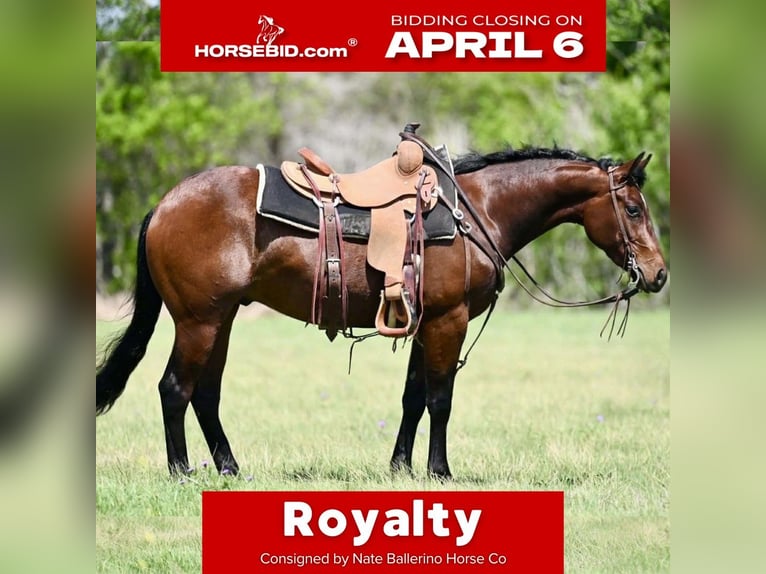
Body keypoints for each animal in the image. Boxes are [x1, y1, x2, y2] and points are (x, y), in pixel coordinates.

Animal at [96, 141, 667, 479]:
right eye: (633, 209)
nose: (659, 274)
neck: (476, 213)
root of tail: (164, 204)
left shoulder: (424, 322)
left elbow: (413, 398)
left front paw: (399, 468)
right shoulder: (448, 321)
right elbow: (440, 400)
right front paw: (439, 471)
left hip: (222, 319)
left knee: (205, 395)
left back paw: (231, 470)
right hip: (199, 321)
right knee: (175, 388)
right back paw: (181, 472)